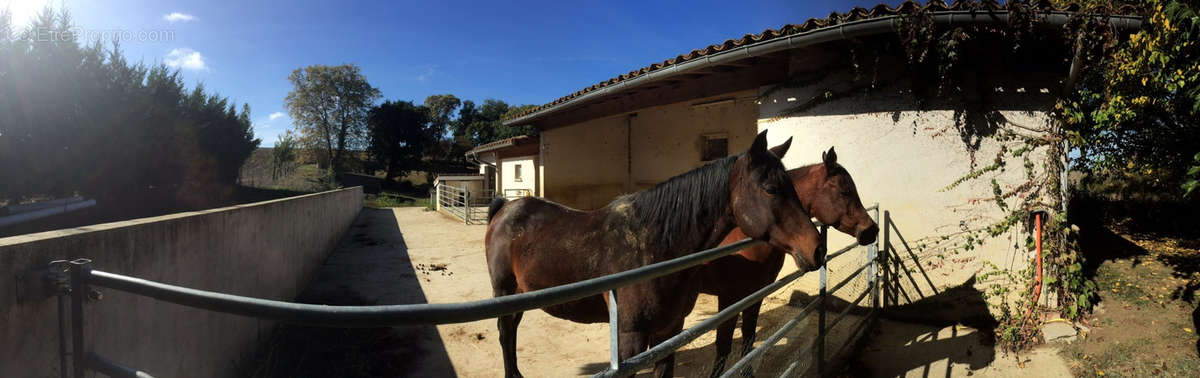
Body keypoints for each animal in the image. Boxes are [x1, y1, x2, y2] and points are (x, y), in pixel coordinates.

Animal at [487, 130, 825, 378]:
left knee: (511, 331)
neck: (654, 249)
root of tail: (505, 208)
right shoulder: (629, 339)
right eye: (770, 189)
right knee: (505, 333)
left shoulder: (669, 331)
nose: (817, 248)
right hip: (504, 290)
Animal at [700, 146, 883, 376]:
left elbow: (749, 337)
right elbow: (723, 346)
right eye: (844, 191)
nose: (871, 230)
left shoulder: (756, 294)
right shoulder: (729, 298)